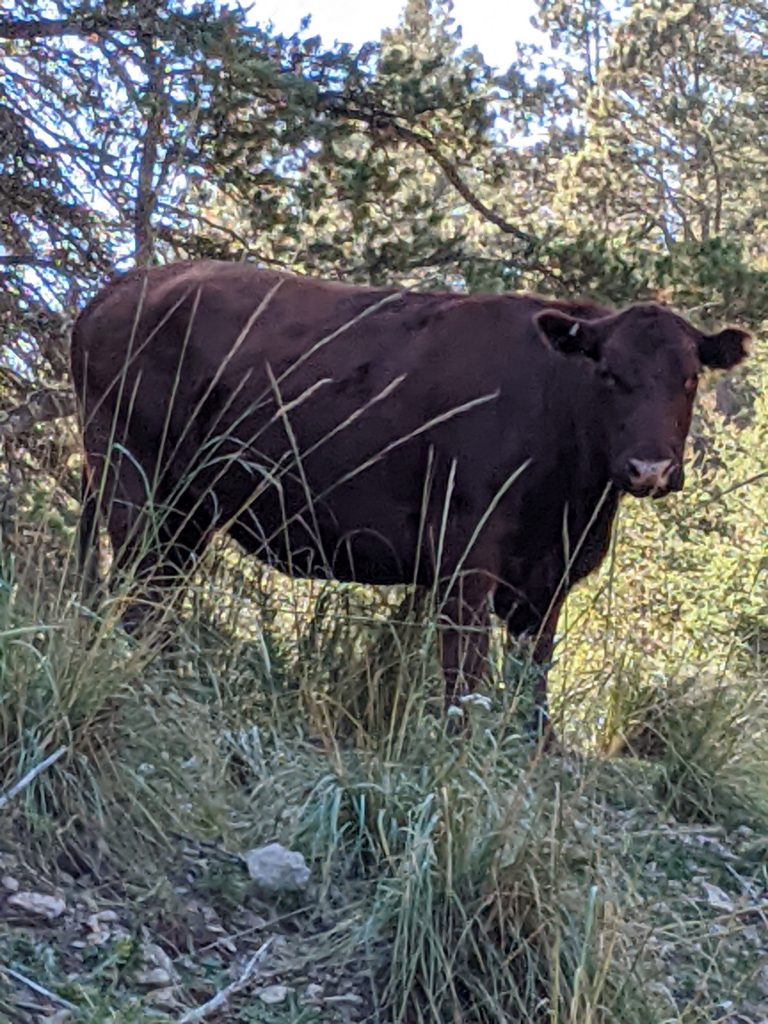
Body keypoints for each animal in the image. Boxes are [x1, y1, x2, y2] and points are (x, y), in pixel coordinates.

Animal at [70, 260, 749, 736]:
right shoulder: (465, 556)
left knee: (156, 598)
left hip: (188, 509)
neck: (569, 504)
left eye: (690, 377)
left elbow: (534, 681)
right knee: (137, 596)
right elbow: (464, 673)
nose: (650, 468)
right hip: (134, 481)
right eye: (607, 373)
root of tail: (122, 289)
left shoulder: (549, 579)